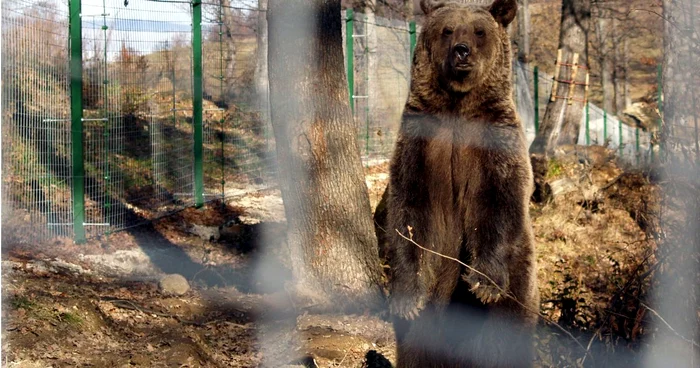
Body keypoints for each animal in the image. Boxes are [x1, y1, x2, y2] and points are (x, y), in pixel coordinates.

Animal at [386, 0, 540, 366]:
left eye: (479, 31)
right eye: (447, 30)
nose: (461, 51)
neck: (458, 107)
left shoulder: (496, 140)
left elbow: (500, 200)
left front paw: (484, 282)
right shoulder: (422, 143)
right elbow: (407, 208)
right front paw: (406, 299)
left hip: (518, 280)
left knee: (505, 335)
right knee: (417, 345)